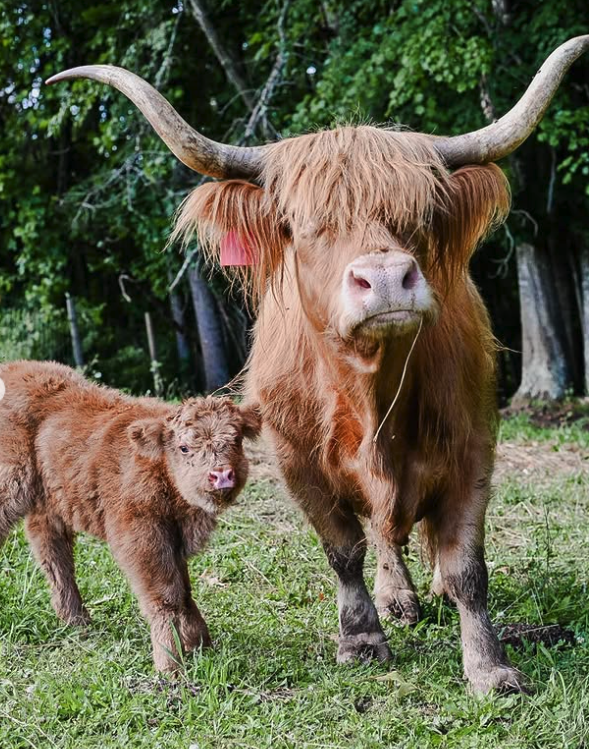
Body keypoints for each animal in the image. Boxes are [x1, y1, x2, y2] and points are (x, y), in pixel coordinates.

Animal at [0, 360, 261, 671]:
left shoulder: (173, 539)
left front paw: (201, 645)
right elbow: (166, 595)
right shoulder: (140, 538)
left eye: (236, 439)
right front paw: (170, 663)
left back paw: (76, 620)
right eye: (184, 448)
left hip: (47, 502)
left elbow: (185, 591)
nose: (221, 474)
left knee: (53, 554)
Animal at [47, 35, 589, 692]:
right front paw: (361, 639)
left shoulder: (472, 449)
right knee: (381, 533)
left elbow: (465, 564)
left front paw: (490, 668)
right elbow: (344, 548)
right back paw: (396, 597)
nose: (386, 277)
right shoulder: (297, 462)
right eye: (307, 227)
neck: (371, 396)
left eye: (418, 218)